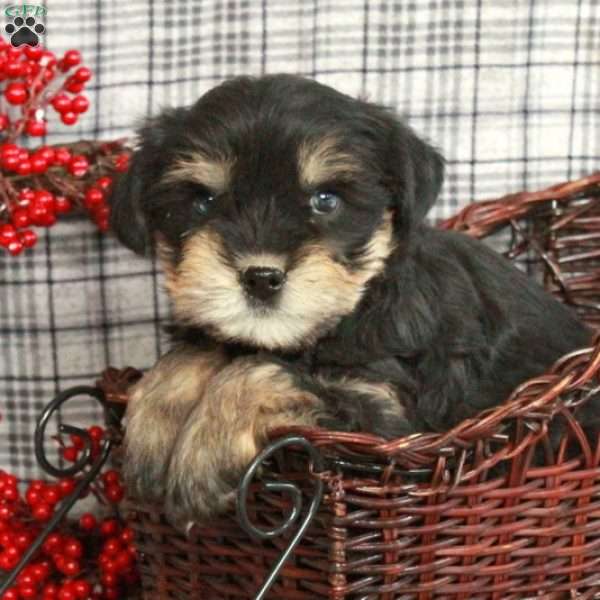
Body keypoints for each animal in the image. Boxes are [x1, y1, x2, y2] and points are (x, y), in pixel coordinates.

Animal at [109, 74, 596, 524]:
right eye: (203, 202)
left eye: (326, 200)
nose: (261, 277)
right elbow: (196, 351)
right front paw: (150, 432)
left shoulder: (387, 420)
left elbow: (260, 372)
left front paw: (202, 454)